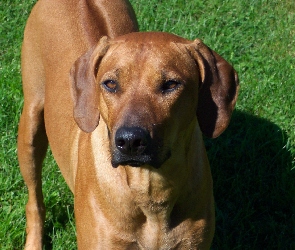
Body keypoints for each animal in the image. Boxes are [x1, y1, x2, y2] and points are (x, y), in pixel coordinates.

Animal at [17, 0, 240, 249]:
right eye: (110, 84)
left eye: (171, 84)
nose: (130, 141)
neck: (151, 191)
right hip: (31, 125)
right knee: (34, 200)